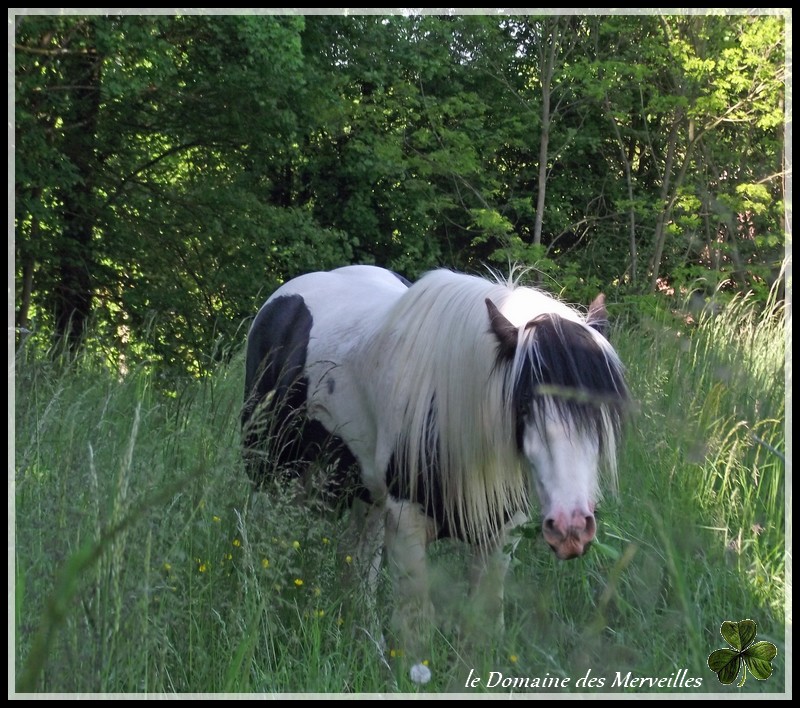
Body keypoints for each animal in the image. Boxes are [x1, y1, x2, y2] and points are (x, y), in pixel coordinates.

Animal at [241, 264, 628, 680]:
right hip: (267, 474)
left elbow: (480, 625)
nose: (572, 527)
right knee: (264, 551)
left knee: (358, 567)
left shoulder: (499, 533)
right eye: (523, 402)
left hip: (367, 499)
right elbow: (415, 629)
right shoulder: (406, 526)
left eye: (603, 407)